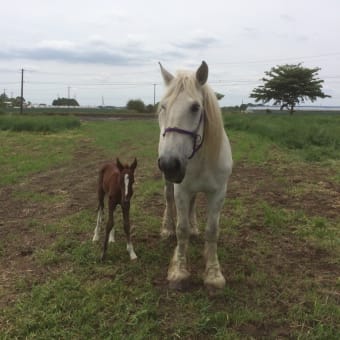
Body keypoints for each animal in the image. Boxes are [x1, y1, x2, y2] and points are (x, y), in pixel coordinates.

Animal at [157, 59, 232, 290]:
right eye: (163, 106)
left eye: (195, 107)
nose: (170, 164)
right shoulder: (181, 189)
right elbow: (181, 230)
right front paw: (179, 271)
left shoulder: (218, 193)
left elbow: (212, 231)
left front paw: (213, 274)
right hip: (169, 183)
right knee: (168, 199)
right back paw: (166, 229)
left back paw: (194, 227)